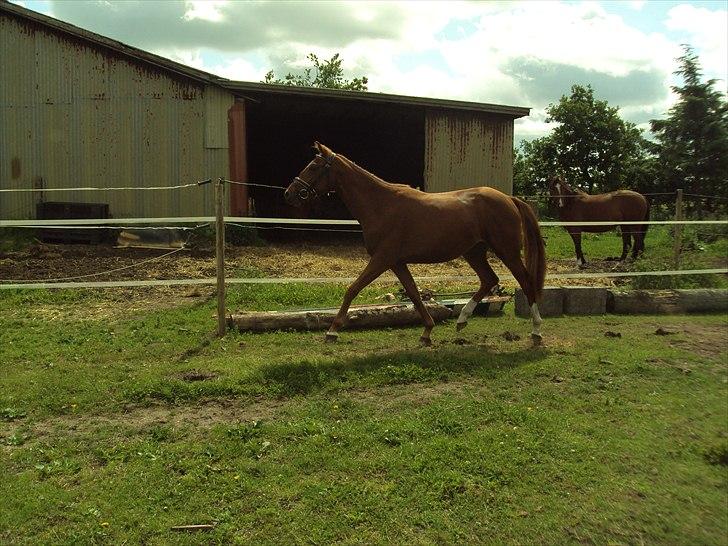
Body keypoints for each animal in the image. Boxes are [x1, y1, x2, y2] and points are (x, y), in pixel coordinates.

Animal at [284, 142, 544, 342]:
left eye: (314, 166)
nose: (289, 193)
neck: (381, 205)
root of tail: (509, 198)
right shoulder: (397, 263)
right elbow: (414, 294)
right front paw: (427, 332)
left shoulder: (382, 259)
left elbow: (352, 289)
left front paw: (332, 331)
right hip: (474, 252)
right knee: (489, 279)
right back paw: (462, 320)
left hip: (507, 250)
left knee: (525, 281)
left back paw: (536, 330)